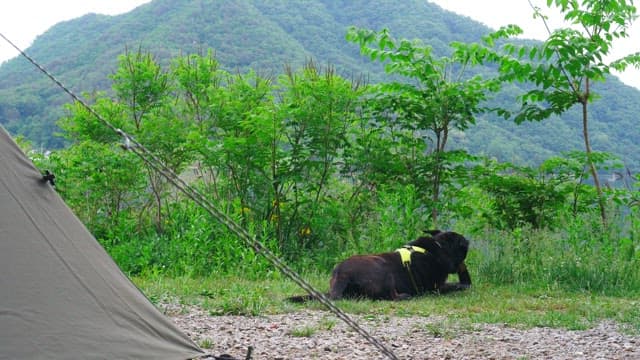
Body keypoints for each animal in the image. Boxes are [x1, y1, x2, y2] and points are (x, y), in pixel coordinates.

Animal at [288, 231, 470, 300]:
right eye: (462, 245)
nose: (468, 241)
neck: (436, 249)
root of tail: (342, 274)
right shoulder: (435, 288)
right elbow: (456, 285)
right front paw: (462, 285)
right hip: (383, 268)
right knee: (391, 296)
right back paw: (404, 296)